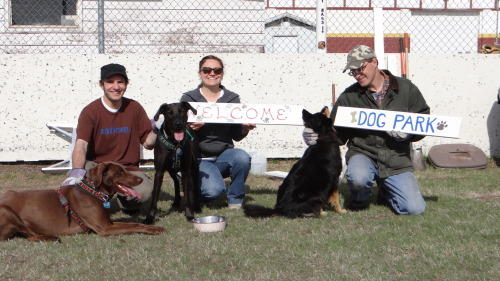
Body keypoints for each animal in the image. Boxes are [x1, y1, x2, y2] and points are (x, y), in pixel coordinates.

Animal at [0, 161, 165, 242]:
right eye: (119, 172)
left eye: (124, 169)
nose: (140, 179)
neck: (94, 192)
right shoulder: (104, 228)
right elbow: (133, 226)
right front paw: (154, 230)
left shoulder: (108, 223)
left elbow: (135, 223)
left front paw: (152, 226)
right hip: (8, 211)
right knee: (30, 235)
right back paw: (50, 237)